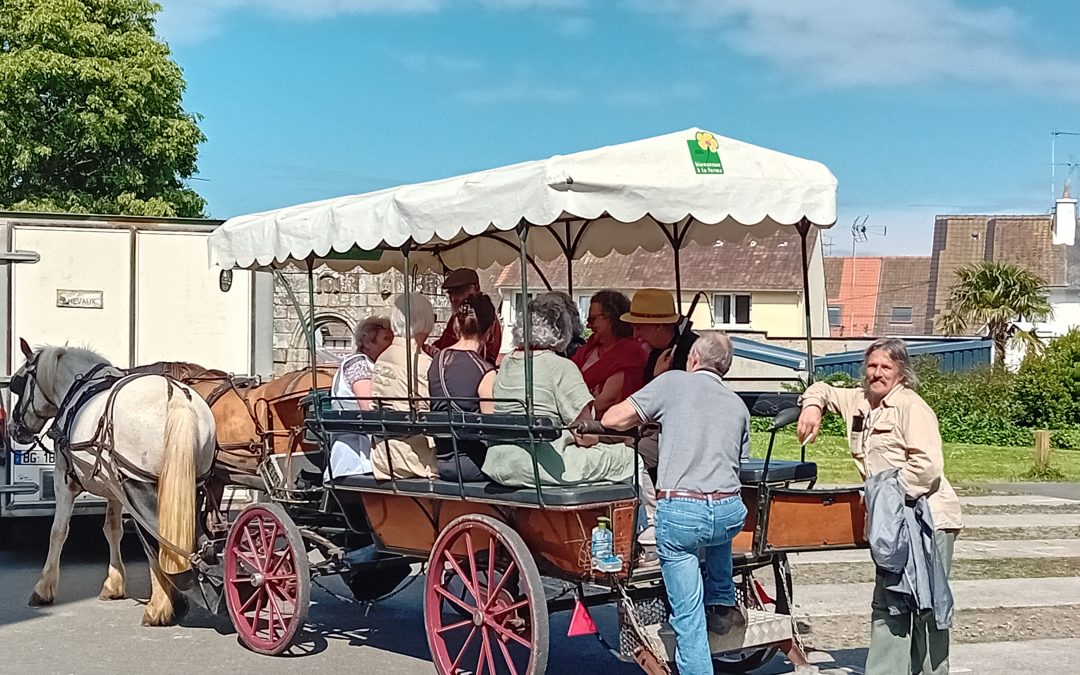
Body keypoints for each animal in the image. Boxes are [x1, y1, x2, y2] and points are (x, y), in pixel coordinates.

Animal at [7, 339, 216, 622]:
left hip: (142, 487)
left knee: (155, 537)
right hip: (187, 487)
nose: (14, 428)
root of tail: (177, 396)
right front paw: (114, 584)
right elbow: (113, 529)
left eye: (18, 384)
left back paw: (158, 606)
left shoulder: (65, 481)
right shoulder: (114, 488)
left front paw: (43, 589)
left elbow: (58, 531)